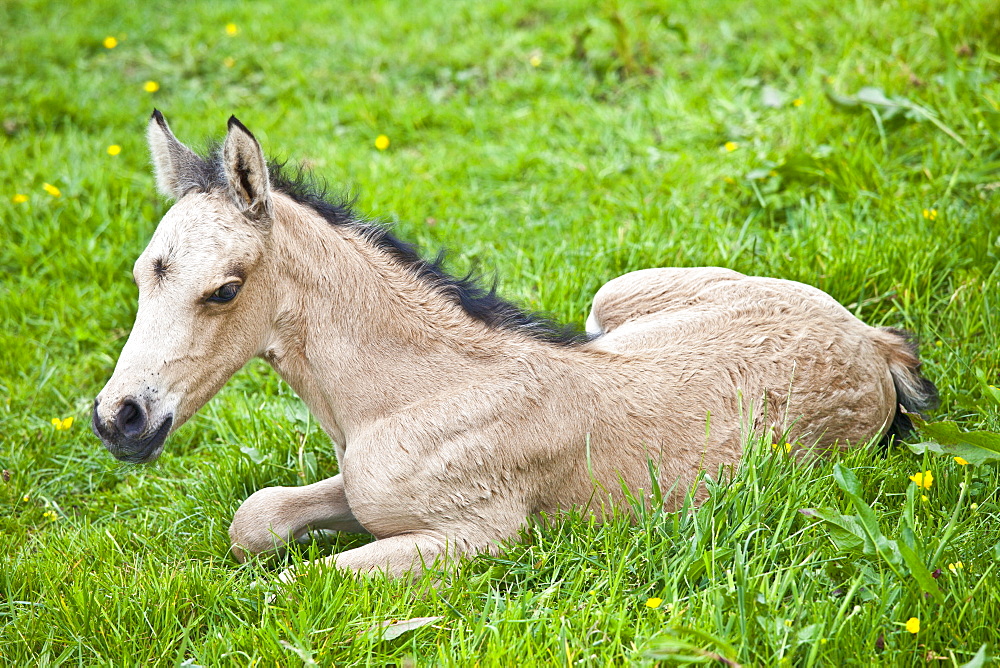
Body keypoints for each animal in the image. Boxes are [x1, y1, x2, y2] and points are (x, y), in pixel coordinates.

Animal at [94, 113, 936, 580]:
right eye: (142, 273)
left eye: (224, 290)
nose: (118, 419)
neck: (414, 393)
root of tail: (870, 340)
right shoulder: (365, 494)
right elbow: (256, 518)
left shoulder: (480, 535)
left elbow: (307, 584)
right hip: (613, 299)